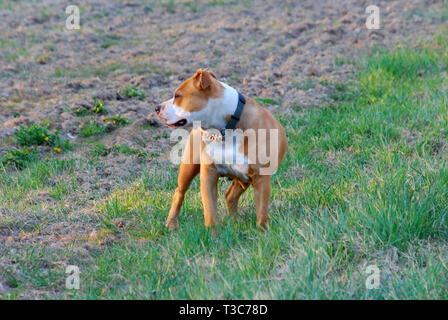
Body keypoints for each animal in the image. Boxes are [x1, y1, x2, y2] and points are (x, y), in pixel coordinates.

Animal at [154, 69, 288, 230]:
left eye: (178, 96)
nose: (156, 107)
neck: (227, 127)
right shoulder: (209, 174)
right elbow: (210, 210)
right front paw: (212, 233)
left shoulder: (261, 178)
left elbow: (262, 212)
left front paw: (262, 232)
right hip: (189, 167)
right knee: (179, 192)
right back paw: (171, 223)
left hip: (243, 178)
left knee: (230, 196)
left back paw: (236, 221)